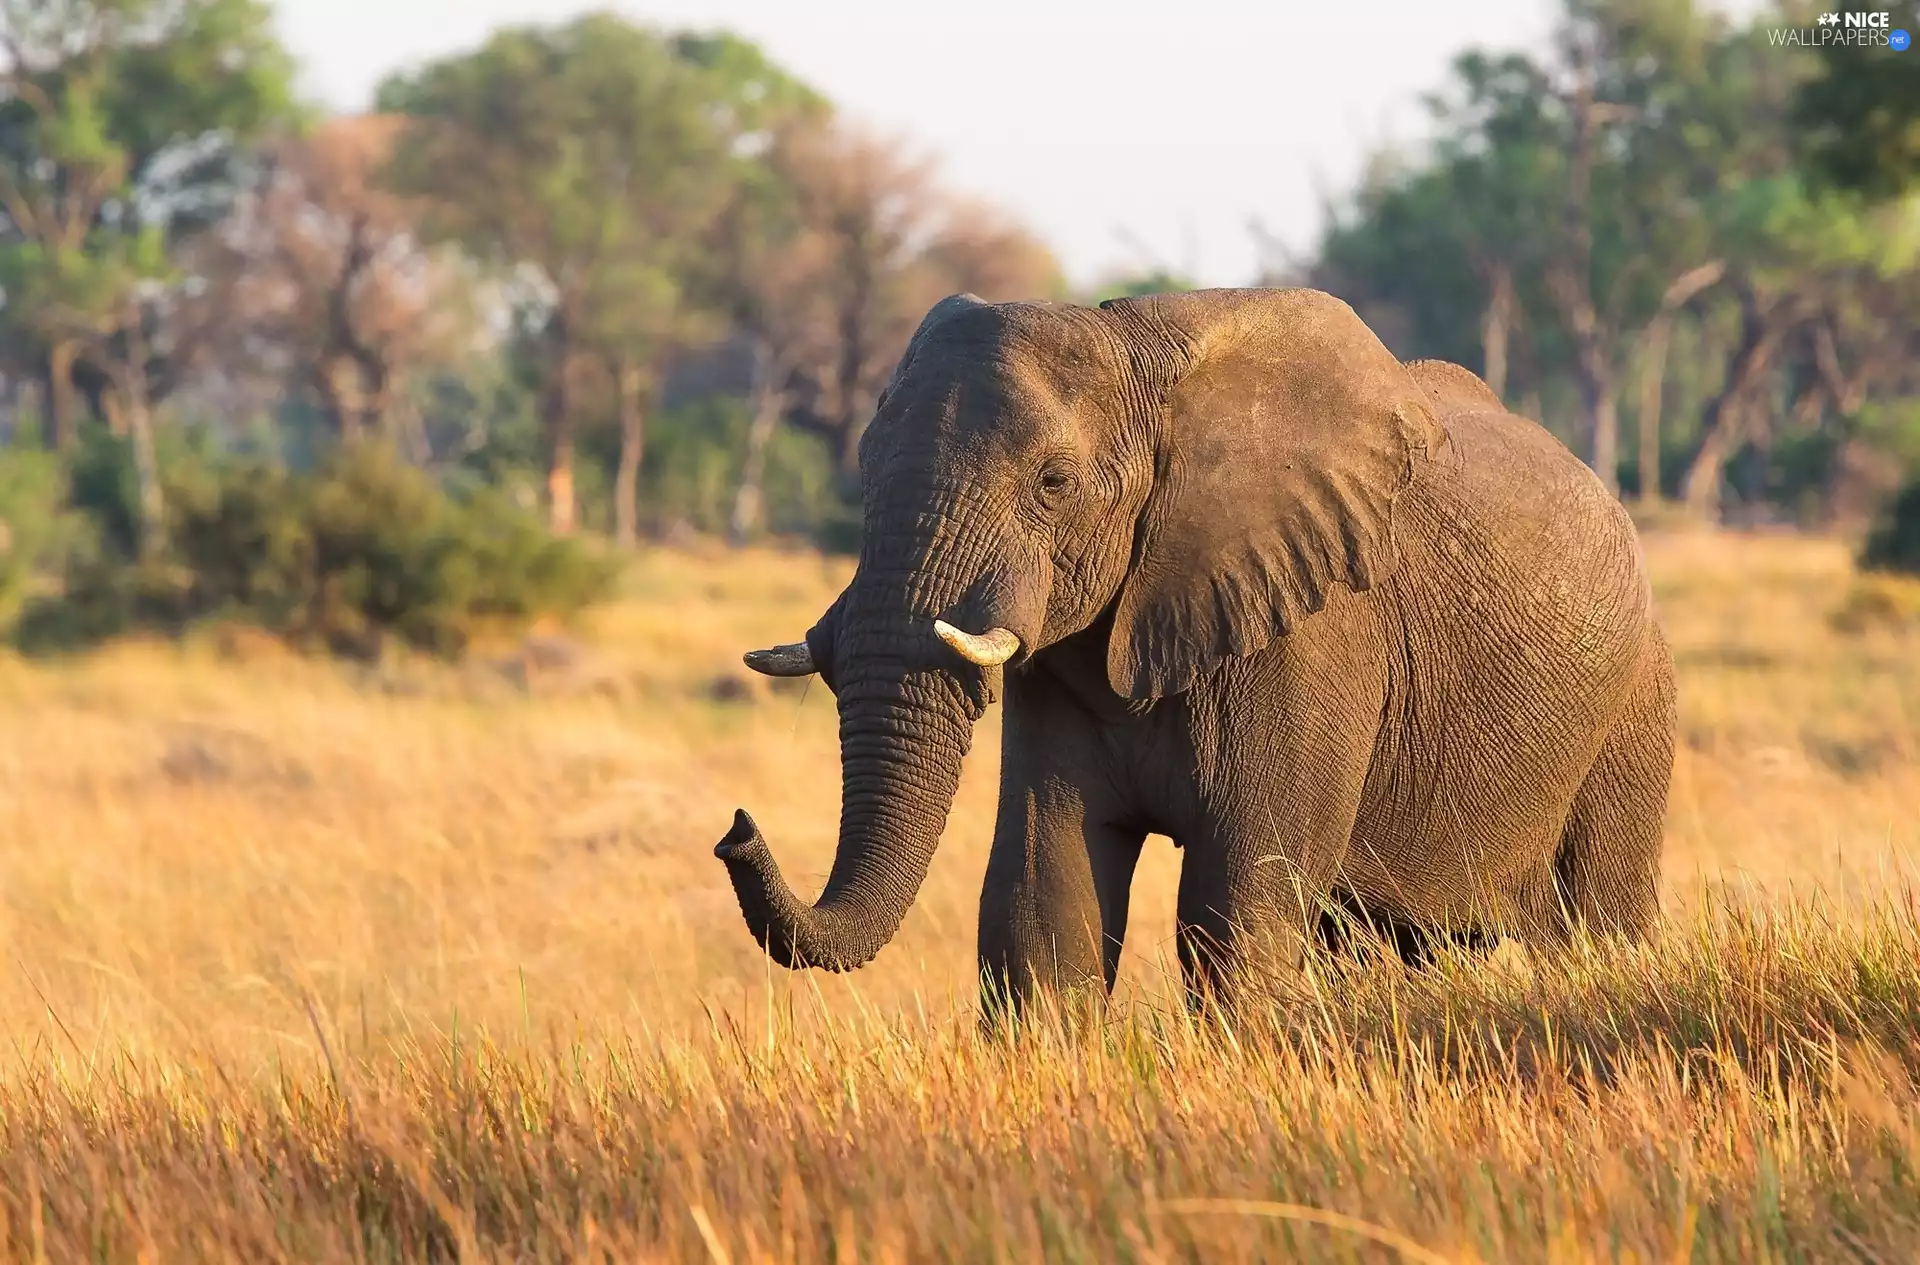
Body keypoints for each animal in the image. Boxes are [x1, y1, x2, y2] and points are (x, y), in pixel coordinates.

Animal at [715, 286, 1675, 1011]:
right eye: (864, 467)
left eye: (1052, 484)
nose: (735, 828)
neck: (1135, 346)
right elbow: (1044, 896)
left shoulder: (1313, 634)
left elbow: (1238, 904)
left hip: (1635, 706)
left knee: (1596, 924)